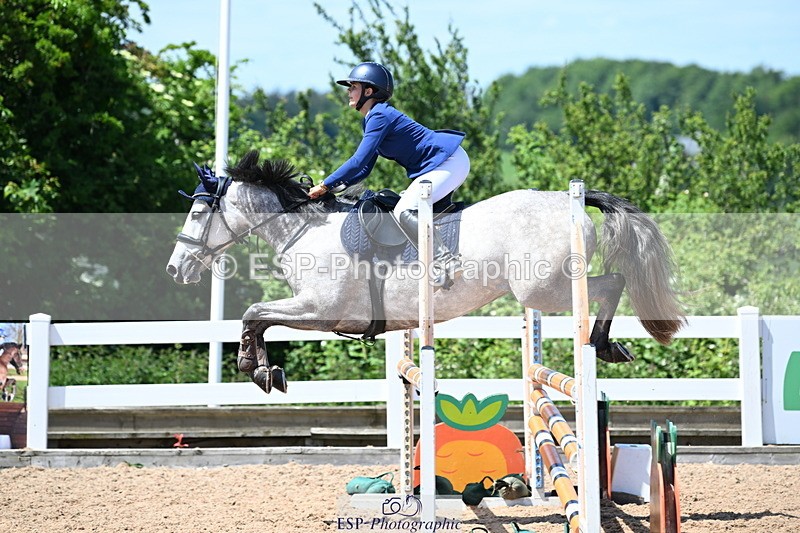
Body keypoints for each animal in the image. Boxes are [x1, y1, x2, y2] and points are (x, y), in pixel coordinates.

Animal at [166, 151, 685, 394]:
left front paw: (255, 369)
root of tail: (569, 200)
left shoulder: (321, 310)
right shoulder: (318, 312)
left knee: (613, 282)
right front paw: (263, 369)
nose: (176, 268)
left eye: (197, 213)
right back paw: (606, 344)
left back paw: (601, 343)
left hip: (545, 288)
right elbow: (257, 317)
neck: (304, 230)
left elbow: (254, 313)